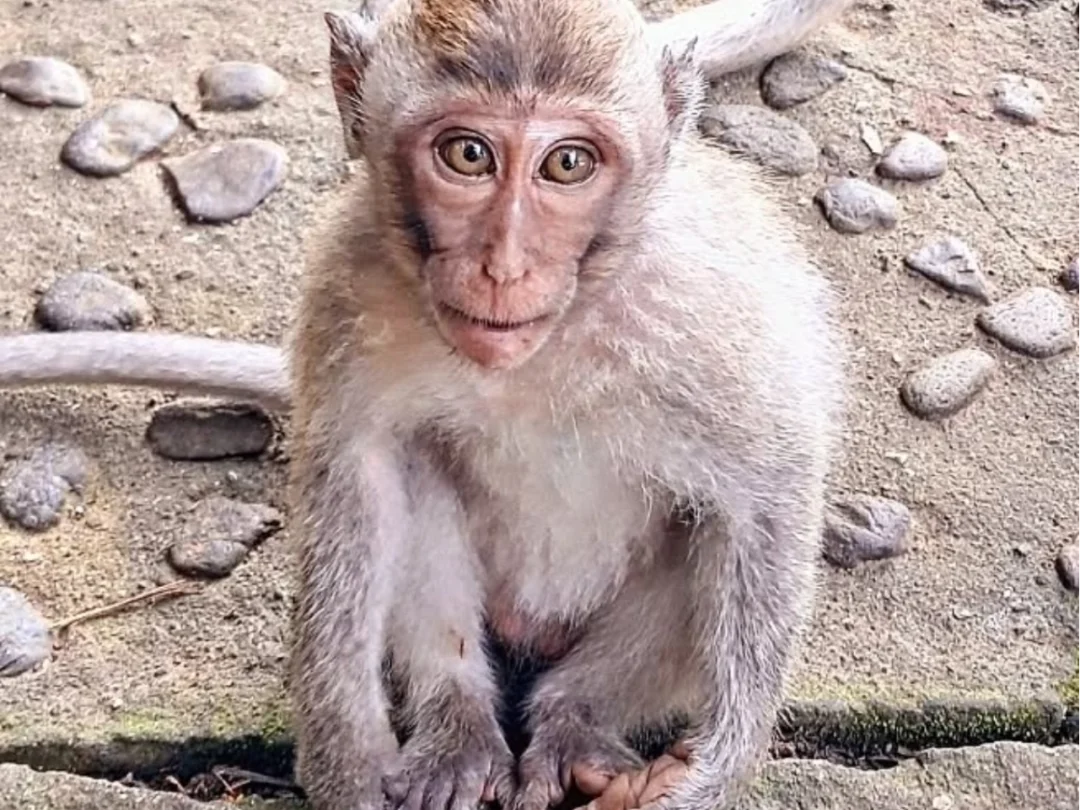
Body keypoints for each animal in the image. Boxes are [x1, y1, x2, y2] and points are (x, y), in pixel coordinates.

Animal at [0, 2, 850, 810]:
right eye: (468, 154)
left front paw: (714, 773)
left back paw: (575, 719)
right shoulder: (348, 280)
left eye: (567, 163)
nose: (504, 268)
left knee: (697, 535)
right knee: (412, 470)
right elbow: (358, 479)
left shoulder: (703, 312)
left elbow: (768, 490)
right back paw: (458, 724)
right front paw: (344, 759)